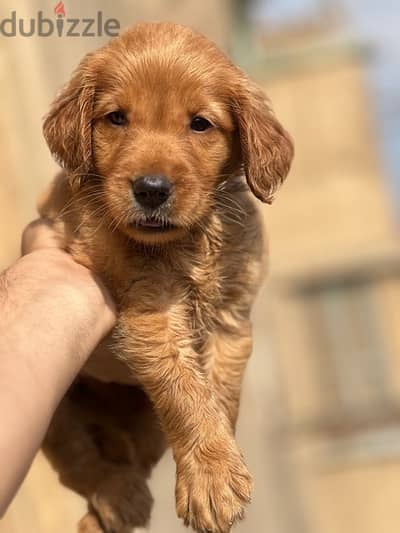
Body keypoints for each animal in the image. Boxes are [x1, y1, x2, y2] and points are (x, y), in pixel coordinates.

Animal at [38, 21, 294, 532]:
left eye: (200, 124)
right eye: (116, 118)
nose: (151, 190)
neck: (189, 242)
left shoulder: (231, 320)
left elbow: (219, 395)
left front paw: (217, 468)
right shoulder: (148, 313)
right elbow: (184, 392)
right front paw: (213, 480)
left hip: (144, 429)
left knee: (129, 455)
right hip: (53, 409)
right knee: (83, 462)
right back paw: (119, 498)